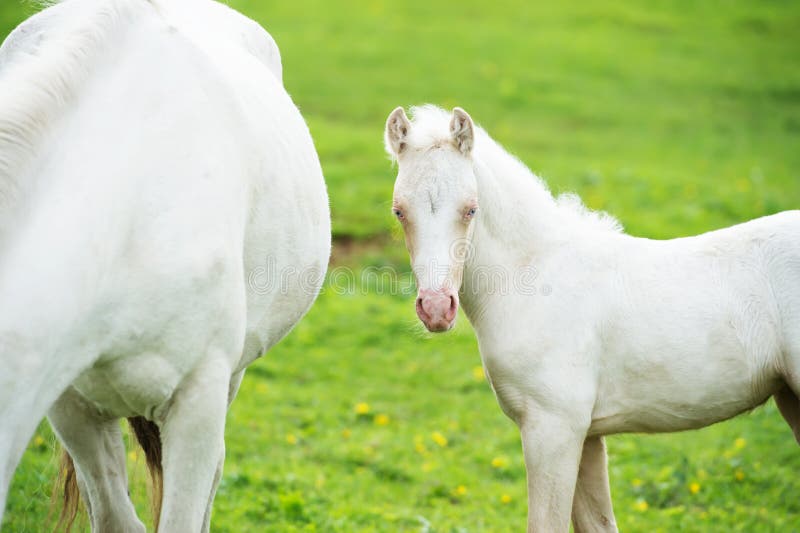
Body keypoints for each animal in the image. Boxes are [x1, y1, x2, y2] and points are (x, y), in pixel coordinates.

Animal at [384, 105, 796, 532]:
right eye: (399, 211)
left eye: (470, 209)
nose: (436, 308)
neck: (535, 277)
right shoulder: (587, 435)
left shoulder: (554, 428)